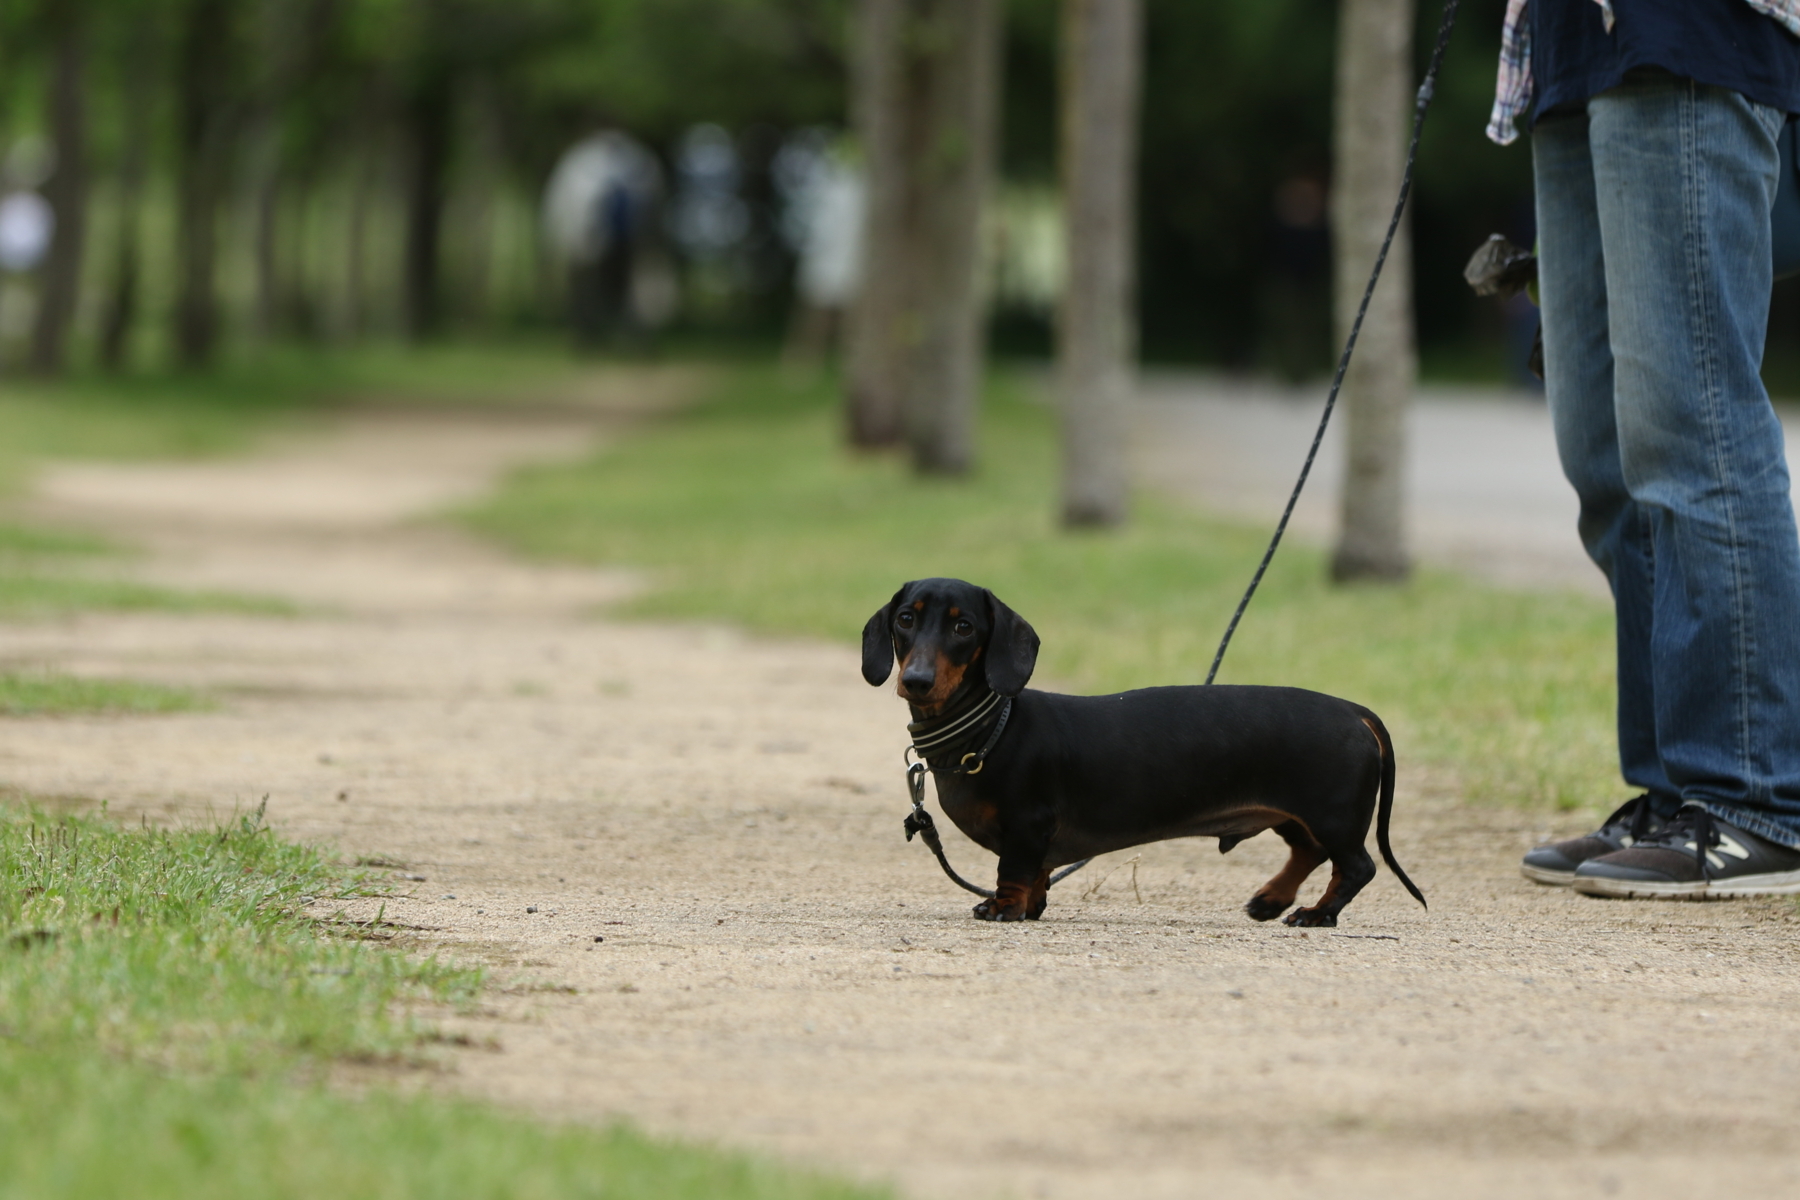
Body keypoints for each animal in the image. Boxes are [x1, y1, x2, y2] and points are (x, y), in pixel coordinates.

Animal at [864, 582, 1425, 928]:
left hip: (1332, 814)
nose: (916, 680)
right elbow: (1040, 873)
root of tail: (1354, 710)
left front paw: (1005, 908)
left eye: (964, 628)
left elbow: (1015, 870)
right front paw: (1034, 904)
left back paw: (1316, 914)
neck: (990, 729)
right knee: (1309, 852)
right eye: (906, 619)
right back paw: (1270, 900)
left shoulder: (1028, 823)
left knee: (1355, 867)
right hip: (1294, 814)